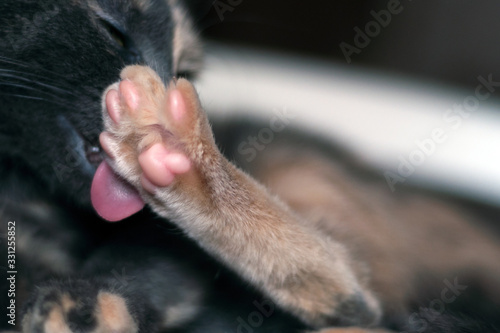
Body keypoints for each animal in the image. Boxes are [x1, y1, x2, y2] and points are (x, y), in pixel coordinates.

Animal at [0, 0, 500, 332]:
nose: (161, 83)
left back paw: (168, 147)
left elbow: (143, 263)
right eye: (112, 29)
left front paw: (84, 304)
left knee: (348, 290)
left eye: (184, 73)